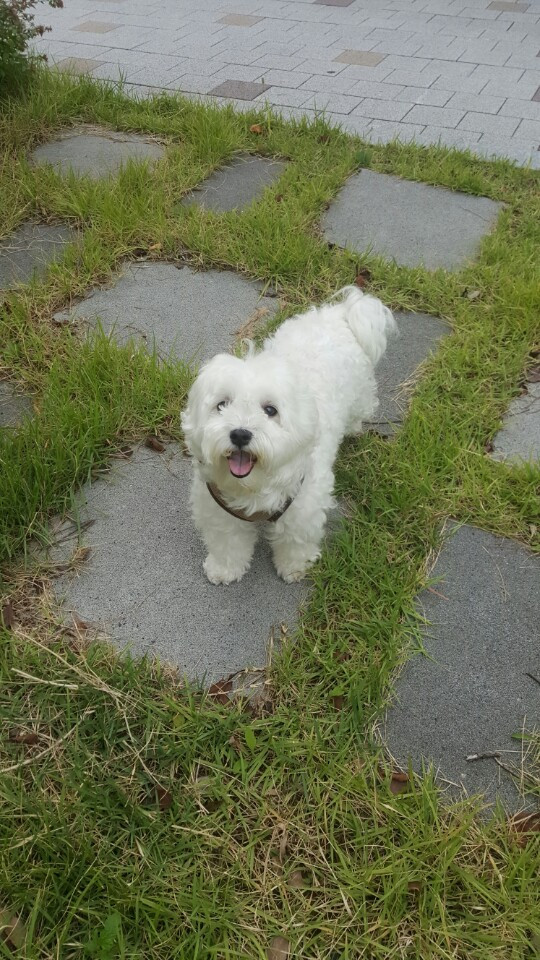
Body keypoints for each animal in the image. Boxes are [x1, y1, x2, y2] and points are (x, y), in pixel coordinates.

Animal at [181, 286, 396, 585]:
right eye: (222, 405)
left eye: (270, 410)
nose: (240, 434)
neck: (254, 488)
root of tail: (340, 312)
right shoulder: (219, 509)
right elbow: (228, 542)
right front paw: (225, 568)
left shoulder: (304, 506)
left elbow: (296, 540)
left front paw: (295, 566)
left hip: (360, 392)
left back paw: (353, 428)